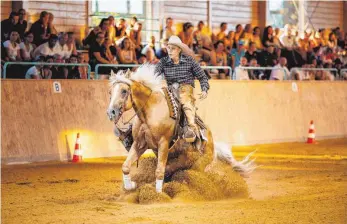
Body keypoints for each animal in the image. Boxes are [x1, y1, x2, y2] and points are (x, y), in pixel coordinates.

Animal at [107, 65, 256, 192]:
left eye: (124, 91)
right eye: (110, 92)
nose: (111, 112)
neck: (151, 112)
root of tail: (212, 144)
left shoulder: (163, 144)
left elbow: (159, 171)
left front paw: (158, 194)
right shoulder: (139, 144)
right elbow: (126, 166)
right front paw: (131, 185)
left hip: (198, 164)